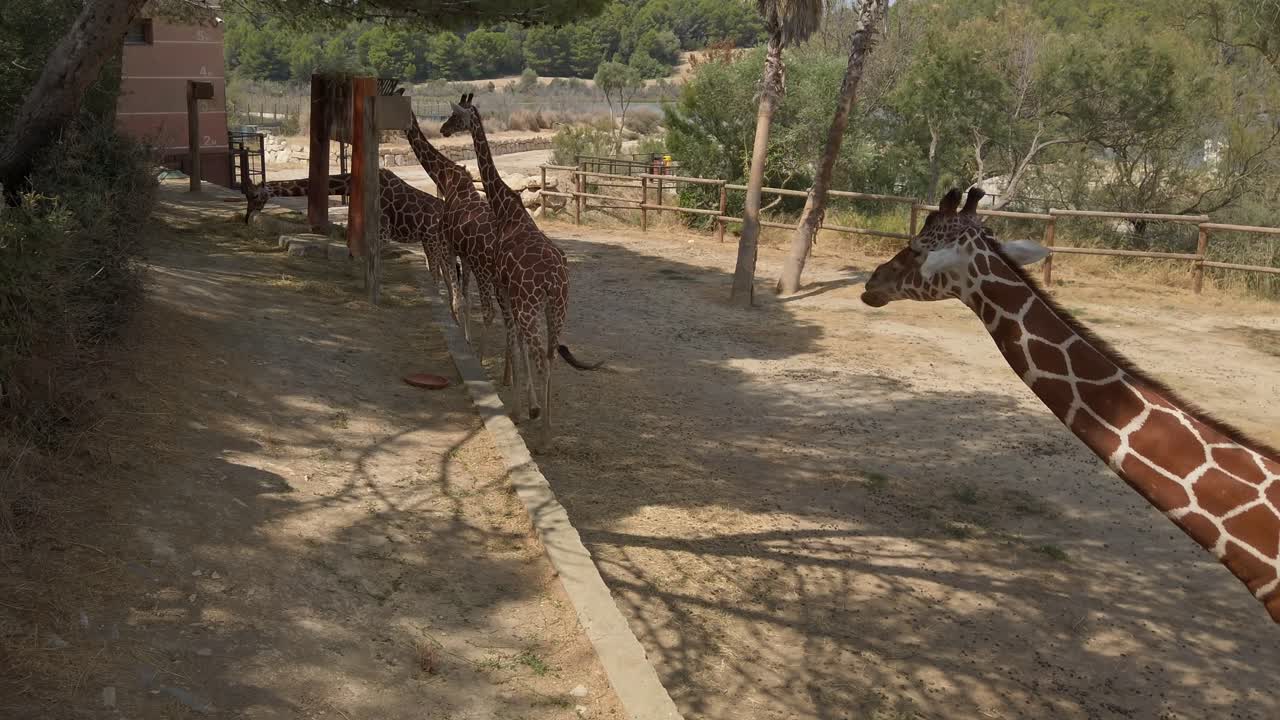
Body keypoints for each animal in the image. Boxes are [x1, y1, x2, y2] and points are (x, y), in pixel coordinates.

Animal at [242, 171, 459, 319]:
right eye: (246, 195)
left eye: (255, 196)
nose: (246, 217)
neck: (350, 185)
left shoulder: (383, 232)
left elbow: (364, 258)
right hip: (438, 244)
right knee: (450, 278)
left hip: (432, 240)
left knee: (440, 275)